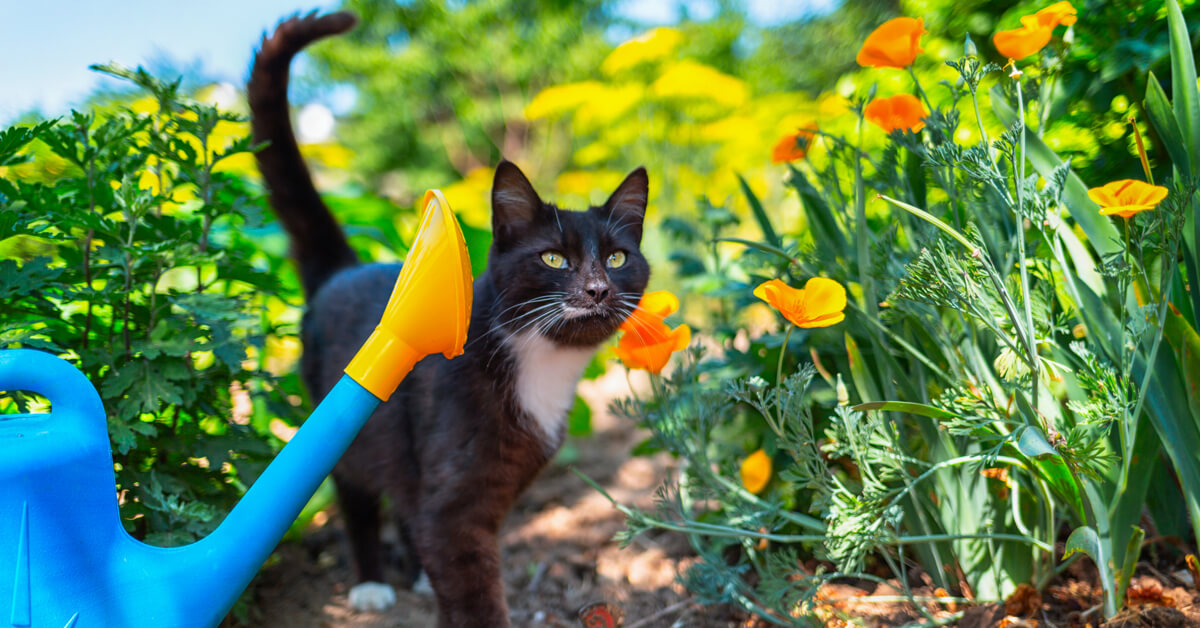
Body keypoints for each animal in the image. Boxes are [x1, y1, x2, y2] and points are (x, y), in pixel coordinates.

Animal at [247, 11, 652, 628]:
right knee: (357, 494)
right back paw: (371, 583)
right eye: (553, 259)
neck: (539, 362)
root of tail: (344, 269)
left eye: (617, 259)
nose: (597, 289)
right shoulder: (454, 503)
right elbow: (467, 577)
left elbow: (440, 536)